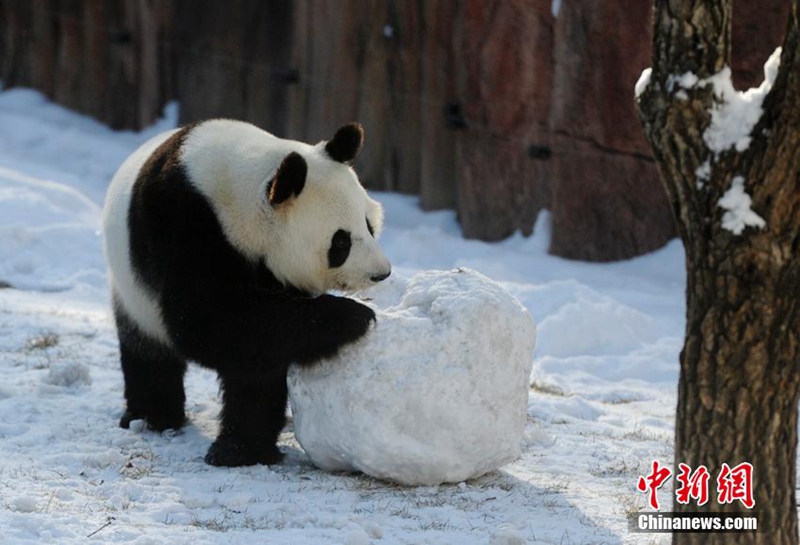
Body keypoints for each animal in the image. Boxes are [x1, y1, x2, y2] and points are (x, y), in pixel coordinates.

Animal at [103, 120, 390, 468]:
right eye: (341, 242)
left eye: (369, 225)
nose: (381, 272)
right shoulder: (182, 226)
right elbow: (209, 321)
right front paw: (354, 316)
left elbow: (264, 343)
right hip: (132, 292)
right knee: (148, 353)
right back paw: (154, 417)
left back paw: (239, 450)